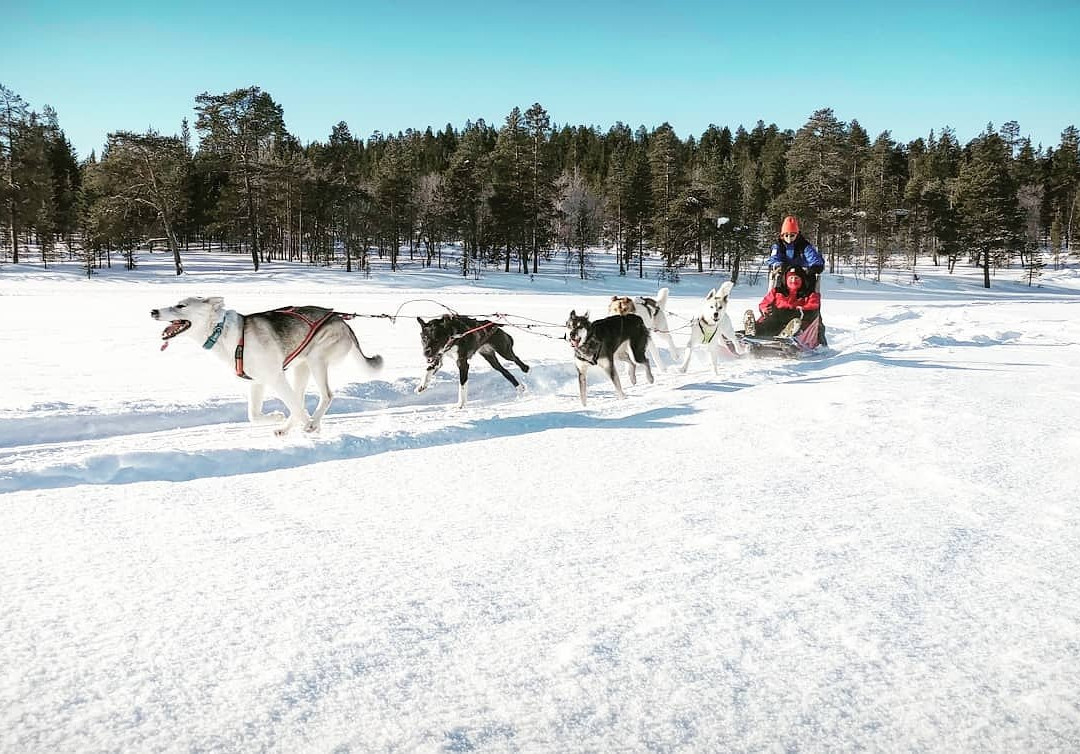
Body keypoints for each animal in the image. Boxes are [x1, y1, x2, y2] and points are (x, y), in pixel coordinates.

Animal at [150, 295, 382, 434]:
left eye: (181, 306)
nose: (153, 311)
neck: (224, 333)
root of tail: (341, 320)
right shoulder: (257, 382)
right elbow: (254, 415)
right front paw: (276, 417)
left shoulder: (275, 377)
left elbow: (296, 407)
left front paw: (309, 424)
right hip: (302, 367)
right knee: (299, 399)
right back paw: (287, 427)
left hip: (316, 361)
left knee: (325, 396)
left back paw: (312, 422)